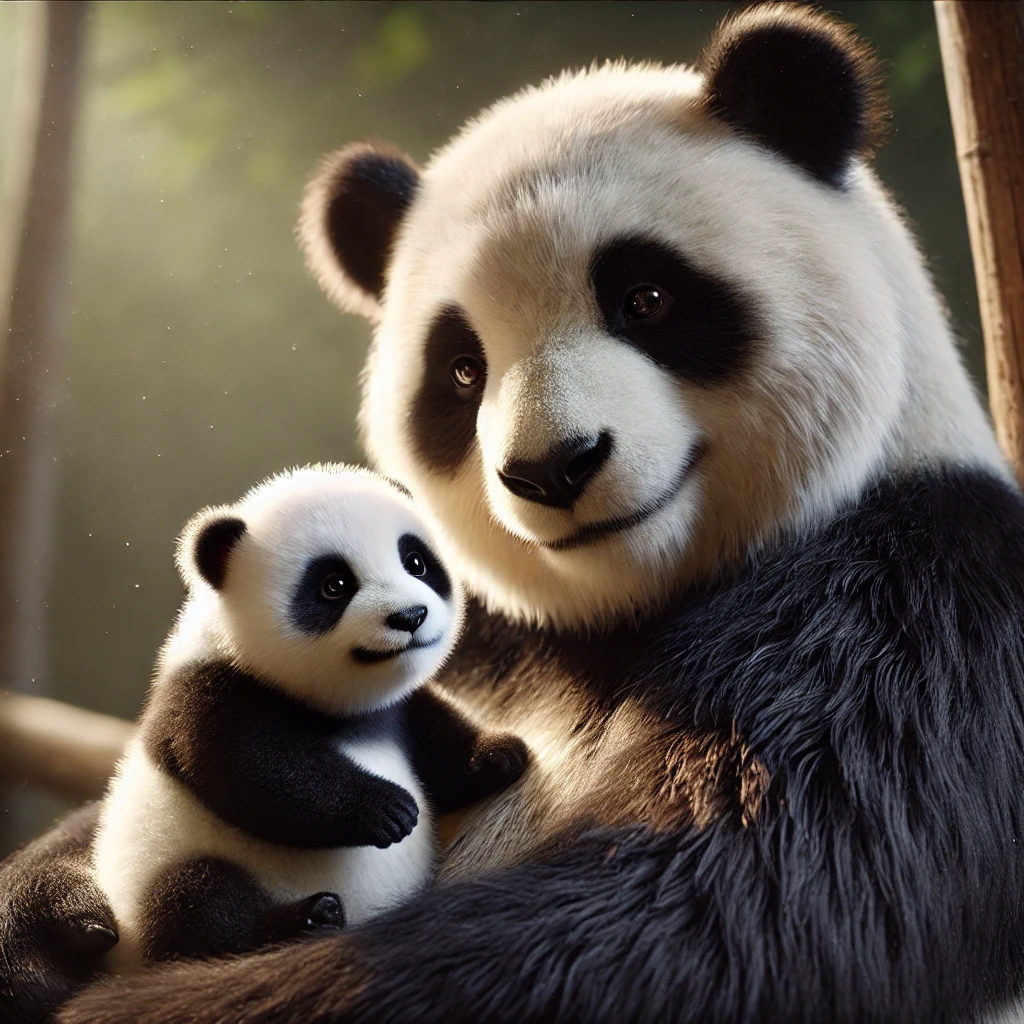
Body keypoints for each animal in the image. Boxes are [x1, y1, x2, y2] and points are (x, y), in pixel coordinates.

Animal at [89, 464, 527, 973]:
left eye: (416, 563)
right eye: (335, 585)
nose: (410, 616)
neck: (341, 707)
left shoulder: (396, 709)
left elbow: (437, 736)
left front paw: (498, 755)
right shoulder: (213, 689)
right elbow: (254, 766)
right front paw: (386, 810)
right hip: (162, 873)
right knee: (195, 902)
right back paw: (306, 919)